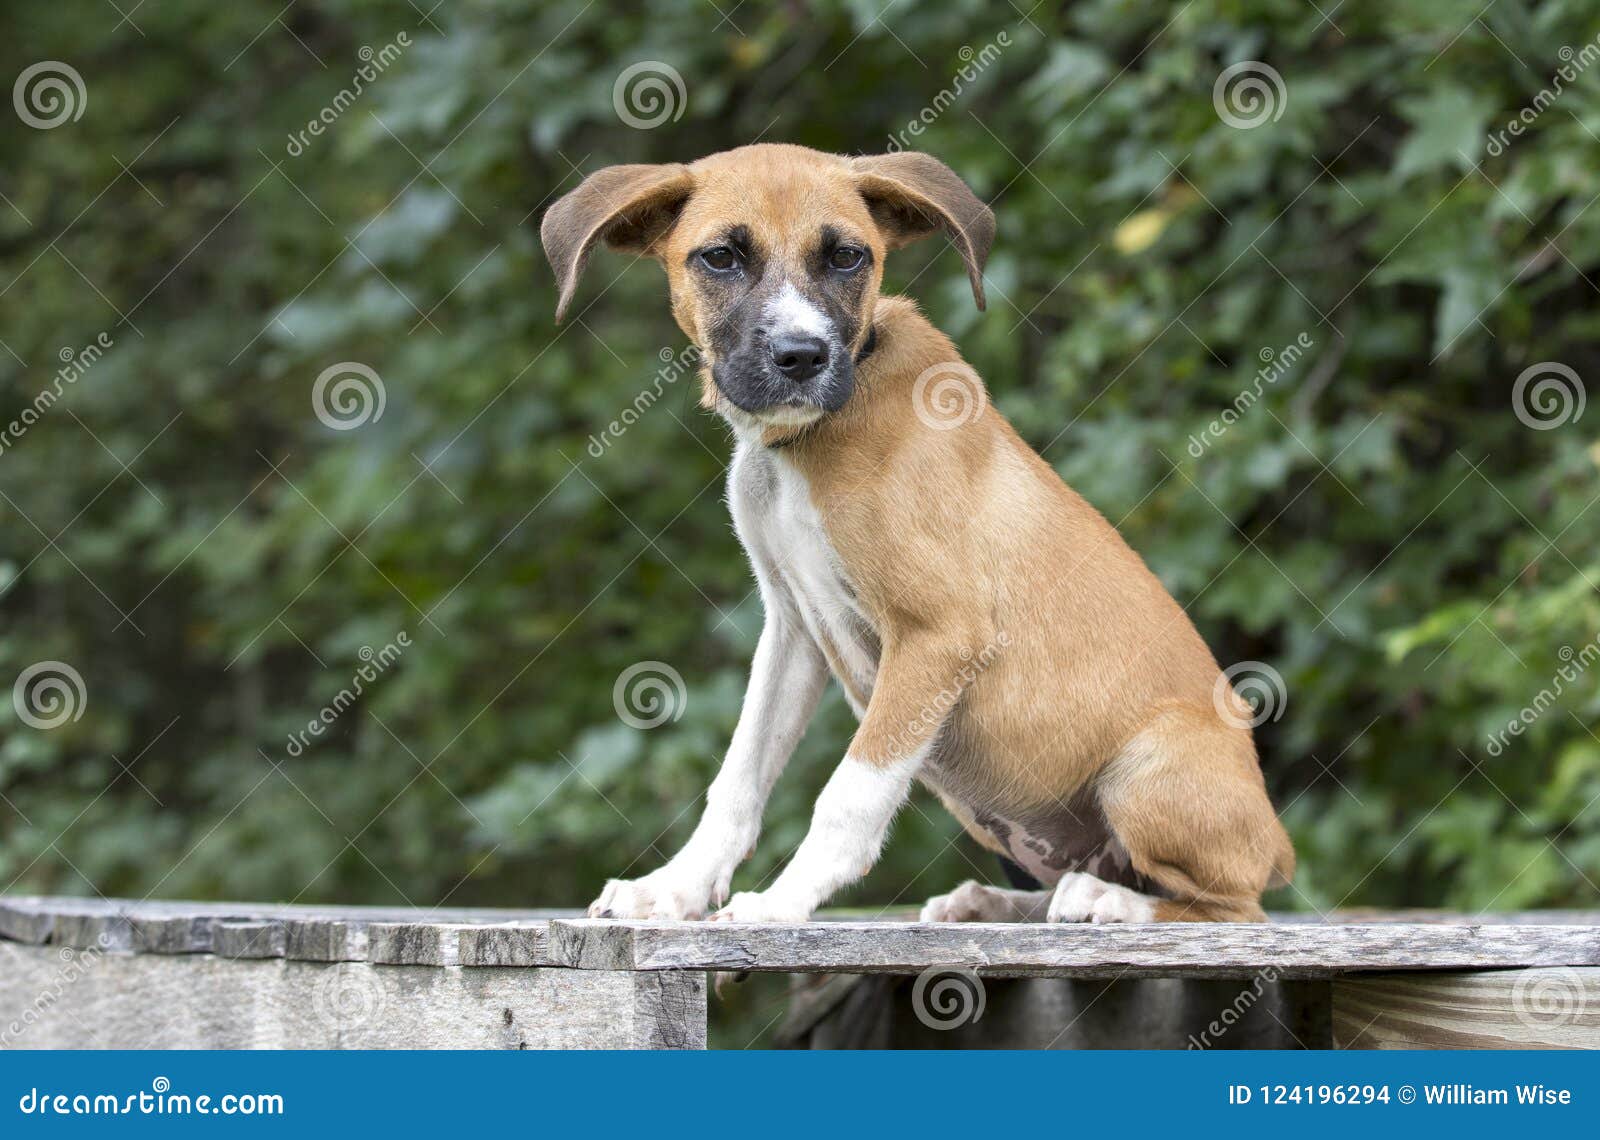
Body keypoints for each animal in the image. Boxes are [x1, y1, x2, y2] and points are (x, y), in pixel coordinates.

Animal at [544, 144, 1292, 928]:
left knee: (1229, 908)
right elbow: (739, 778)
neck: (806, 442)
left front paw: (781, 903)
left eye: (848, 256)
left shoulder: (939, 635)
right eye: (720, 257)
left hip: (1149, 768)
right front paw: (674, 889)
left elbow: (849, 795)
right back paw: (996, 901)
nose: (801, 356)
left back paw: (1105, 902)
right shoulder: (792, 628)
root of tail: (1276, 845)